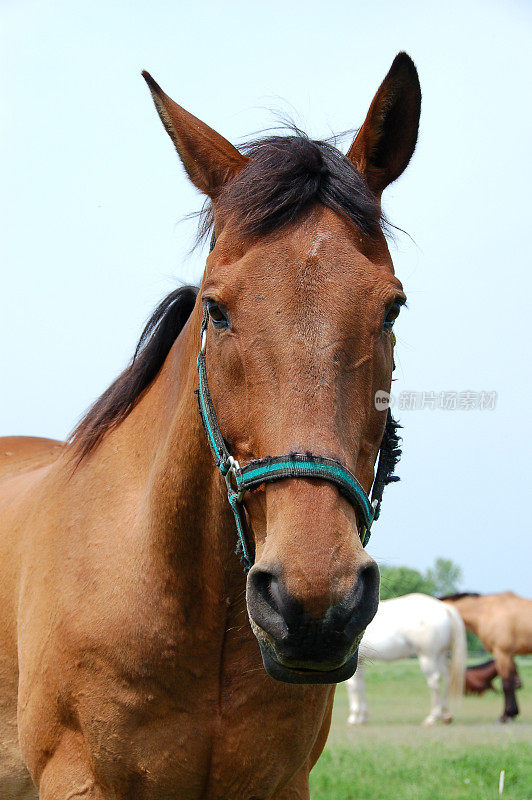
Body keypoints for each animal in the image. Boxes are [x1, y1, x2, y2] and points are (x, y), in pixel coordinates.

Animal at [344, 592, 466, 724]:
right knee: (447, 677)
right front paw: (362, 717)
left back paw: (432, 717)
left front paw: (354, 718)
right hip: (440, 656)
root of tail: (444, 608)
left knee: (434, 681)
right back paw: (445, 715)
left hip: (428, 657)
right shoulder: (360, 662)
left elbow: (353, 686)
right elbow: (361, 686)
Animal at [440, 592, 532, 720]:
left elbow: (506, 683)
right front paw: (512, 713)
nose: (520, 684)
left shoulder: (502, 652)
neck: (487, 612)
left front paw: (506, 715)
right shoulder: (509, 654)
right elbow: (510, 681)